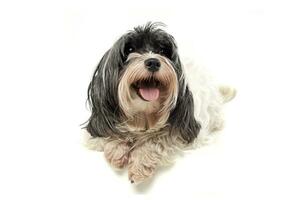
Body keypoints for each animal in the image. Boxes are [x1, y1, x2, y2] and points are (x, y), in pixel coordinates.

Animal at [83, 22, 236, 184]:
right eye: (130, 49)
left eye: (162, 51)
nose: (153, 62)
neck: (144, 116)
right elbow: (110, 134)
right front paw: (117, 149)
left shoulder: (186, 133)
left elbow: (159, 138)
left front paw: (140, 163)